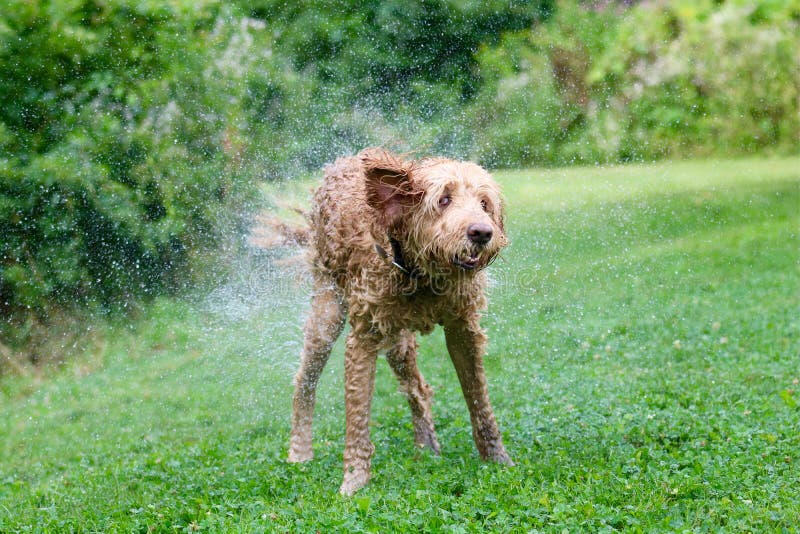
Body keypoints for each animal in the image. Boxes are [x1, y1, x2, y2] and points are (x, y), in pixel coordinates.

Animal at [288, 149, 512, 496]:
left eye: (484, 204)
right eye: (443, 200)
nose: (481, 232)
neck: (421, 274)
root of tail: (341, 162)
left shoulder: (463, 329)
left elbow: (479, 400)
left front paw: (498, 459)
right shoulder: (363, 337)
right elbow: (357, 418)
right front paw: (354, 482)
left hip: (397, 342)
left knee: (416, 387)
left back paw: (427, 447)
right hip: (327, 315)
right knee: (305, 381)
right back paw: (299, 452)